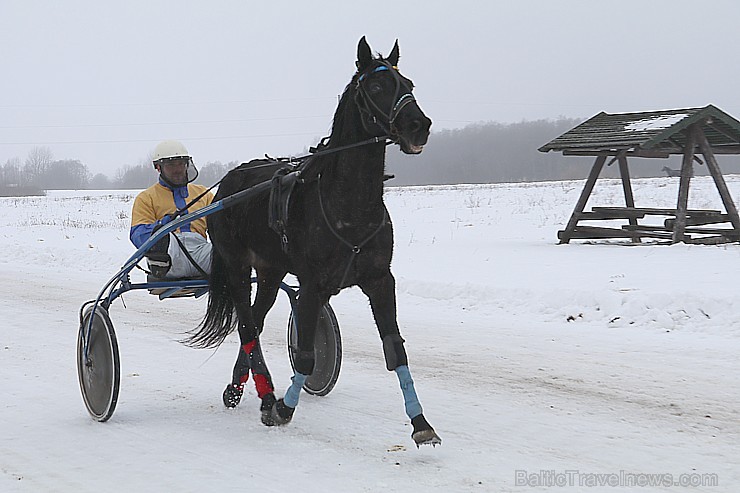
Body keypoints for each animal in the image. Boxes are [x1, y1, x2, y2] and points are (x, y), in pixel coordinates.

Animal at [188, 37, 440, 446]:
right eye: (376, 86)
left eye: (409, 84)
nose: (418, 126)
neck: (349, 208)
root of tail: (227, 183)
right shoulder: (312, 285)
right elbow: (306, 354)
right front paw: (283, 409)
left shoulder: (379, 280)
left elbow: (395, 350)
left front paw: (420, 422)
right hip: (238, 266)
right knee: (246, 326)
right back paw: (266, 395)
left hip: (270, 272)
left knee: (255, 321)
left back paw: (240, 389)